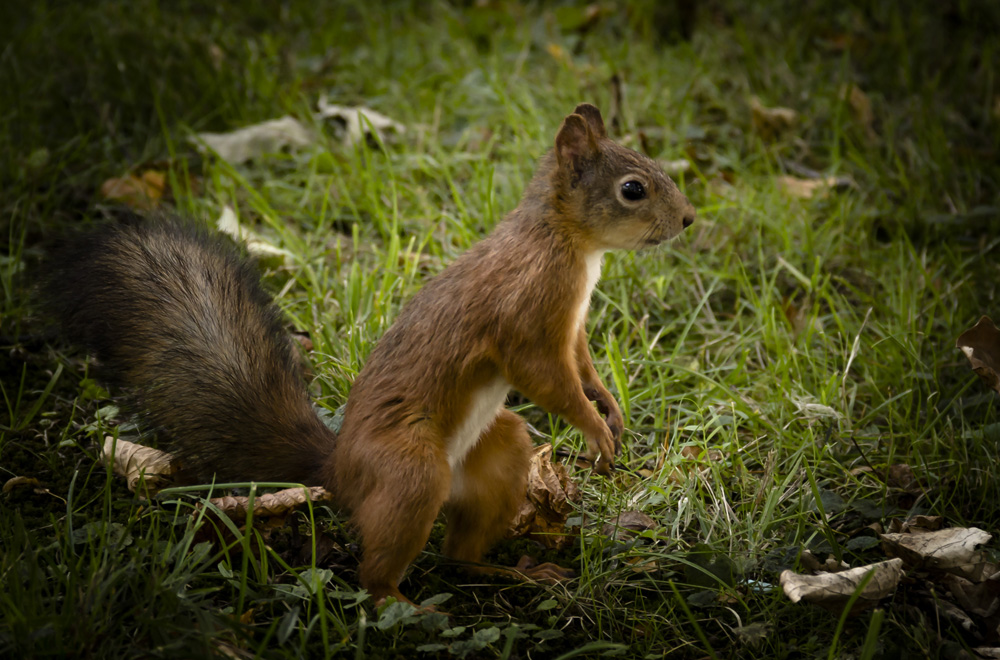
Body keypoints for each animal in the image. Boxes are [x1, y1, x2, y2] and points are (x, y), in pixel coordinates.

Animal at [47, 103, 696, 604]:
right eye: (632, 189)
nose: (689, 219)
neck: (567, 242)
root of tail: (338, 472)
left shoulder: (573, 328)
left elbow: (582, 366)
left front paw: (610, 410)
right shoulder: (527, 317)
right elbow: (546, 378)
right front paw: (595, 430)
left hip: (497, 454)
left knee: (459, 552)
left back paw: (514, 572)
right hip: (409, 472)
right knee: (376, 572)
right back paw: (405, 606)